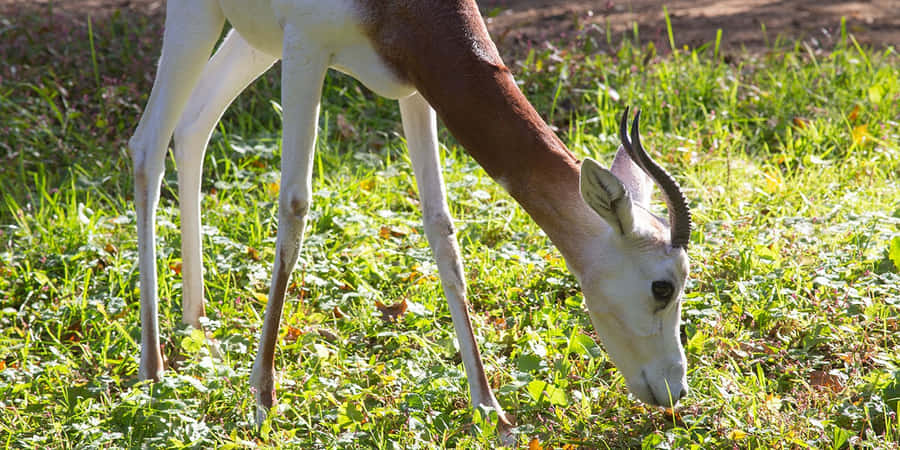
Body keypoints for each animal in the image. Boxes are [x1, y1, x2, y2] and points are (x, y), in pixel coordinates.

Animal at [129, 0, 693, 437]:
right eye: (662, 287)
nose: (675, 389)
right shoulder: (306, 48)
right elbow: (295, 206)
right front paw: (264, 401)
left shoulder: (417, 87)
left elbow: (441, 227)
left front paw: (491, 411)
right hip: (201, 17)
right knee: (147, 145)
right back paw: (152, 368)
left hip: (255, 40)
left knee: (193, 124)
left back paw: (197, 322)